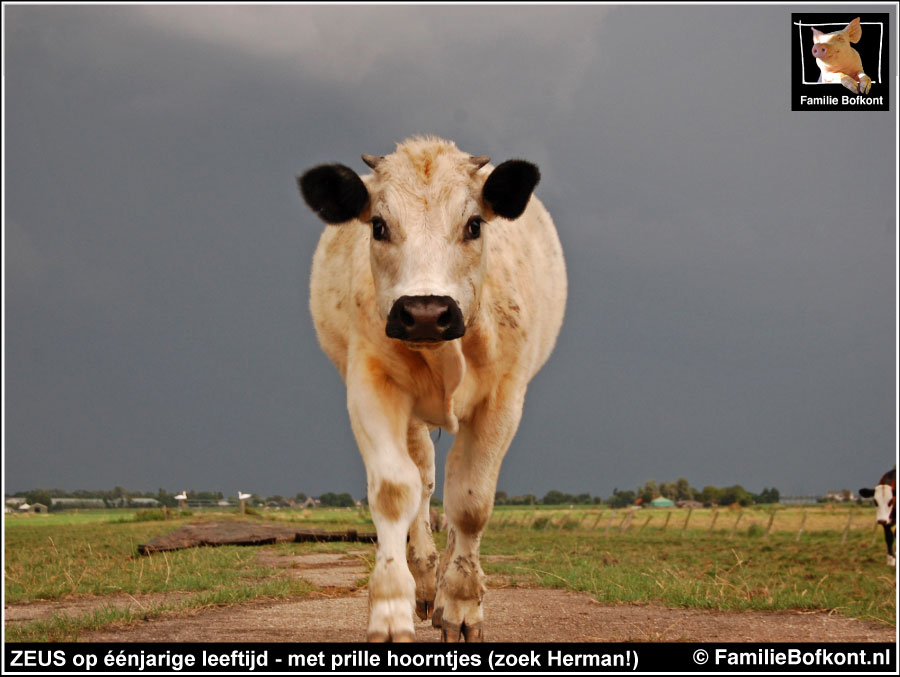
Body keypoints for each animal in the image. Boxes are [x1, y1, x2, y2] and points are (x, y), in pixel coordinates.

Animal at [302, 136, 568, 640]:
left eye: (474, 224)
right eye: (379, 225)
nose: (425, 312)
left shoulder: (502, 397)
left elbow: (470, 503)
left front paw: (462, 605)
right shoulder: (371, 385)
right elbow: (395, 492)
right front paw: (391, 609)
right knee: (423, 482)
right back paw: (425, 582)